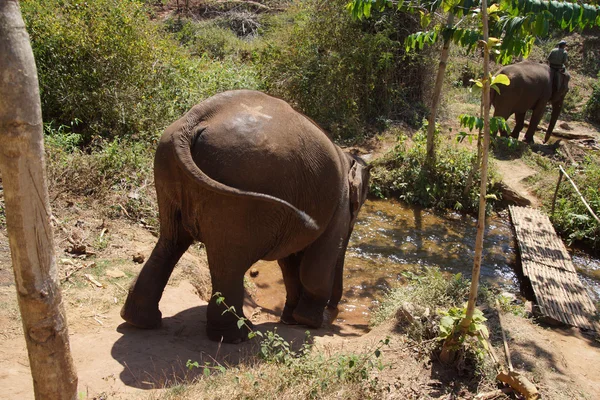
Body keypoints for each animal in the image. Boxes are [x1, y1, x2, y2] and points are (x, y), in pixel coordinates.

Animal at [120, 90, 370, 344]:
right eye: (358, 207)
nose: (334, 313)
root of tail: (192, 122)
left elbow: (290, 260)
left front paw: (292, 320)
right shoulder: (339, 204)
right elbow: (320, 257)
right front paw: (312, 322)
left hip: (167, 169)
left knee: (170, 242)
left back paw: (139, 321)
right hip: (240, 188)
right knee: (229, 264)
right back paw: (237, 335)